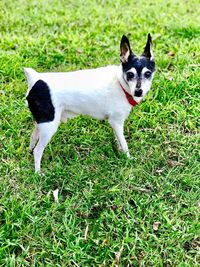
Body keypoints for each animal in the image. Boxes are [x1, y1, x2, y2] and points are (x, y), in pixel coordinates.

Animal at [23, 33, 155, 173]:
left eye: (148, 74)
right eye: (130, 74)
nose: (138, 91)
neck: (121, 84)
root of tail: (35, 79)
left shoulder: (115, 124)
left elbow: (119, 140)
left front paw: (120, 154)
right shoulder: (116, 122)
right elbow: (124, 143)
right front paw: (128, 159)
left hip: (42, 121)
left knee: (33, 137)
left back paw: (29, 151)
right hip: (49, 126)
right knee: (38, 151)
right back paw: (38, 172)